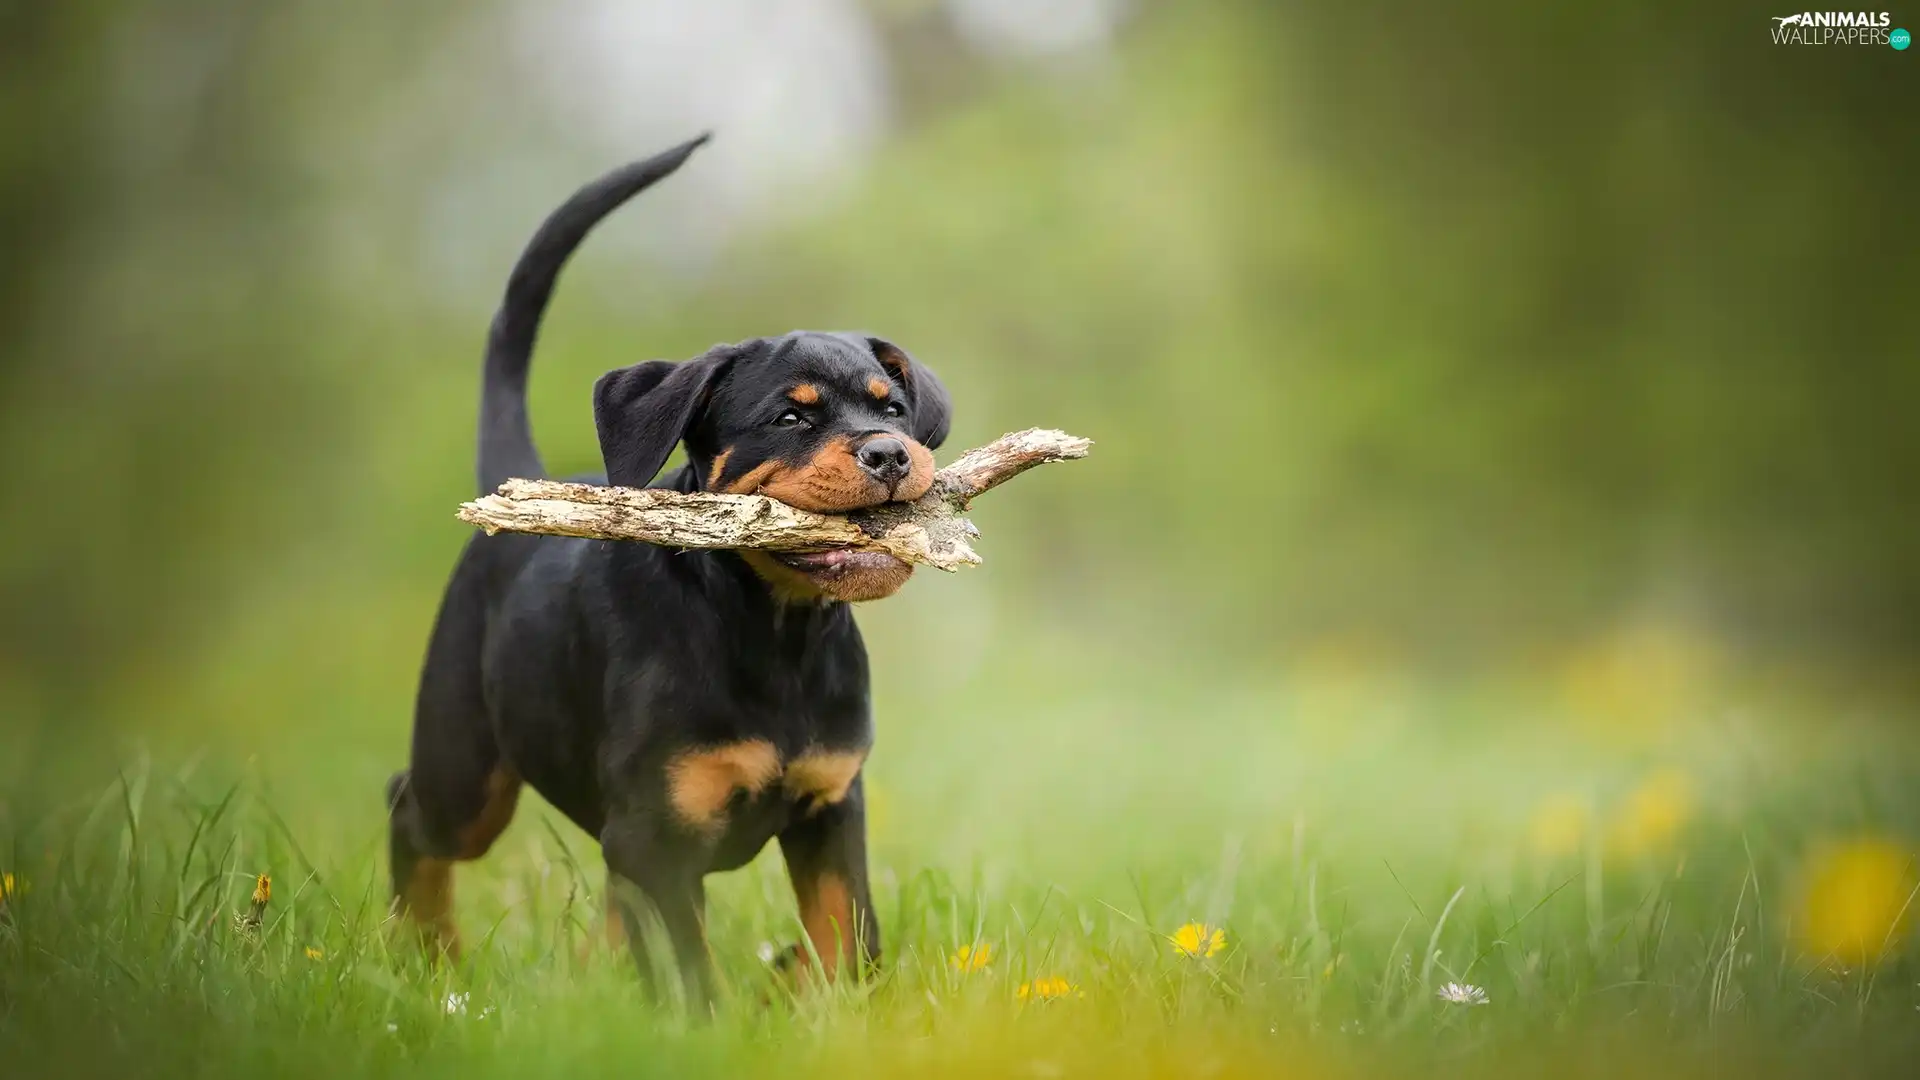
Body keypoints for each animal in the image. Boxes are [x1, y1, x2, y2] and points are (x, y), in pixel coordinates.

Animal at [387, 134, 952, 999]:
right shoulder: (656, 833)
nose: (891, 454)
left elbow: (847, 936)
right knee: (412, 814)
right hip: (466, 766)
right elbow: (692, 972)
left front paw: (810, 993)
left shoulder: (830, 804)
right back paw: (429, 959)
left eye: (891, 407)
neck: (778, 630)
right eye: (790, 418)